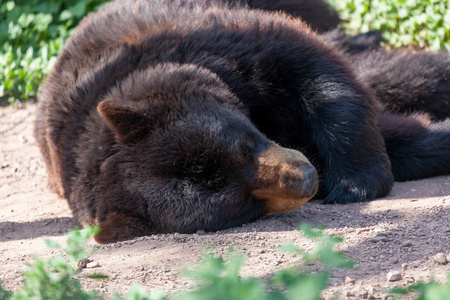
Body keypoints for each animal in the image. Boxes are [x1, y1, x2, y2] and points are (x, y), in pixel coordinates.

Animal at [35, 0, 450, 243]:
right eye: (244, 204)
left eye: (244, 144)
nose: (307, 178)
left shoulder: (211, 44)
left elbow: (313, 67)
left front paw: (355, 182)